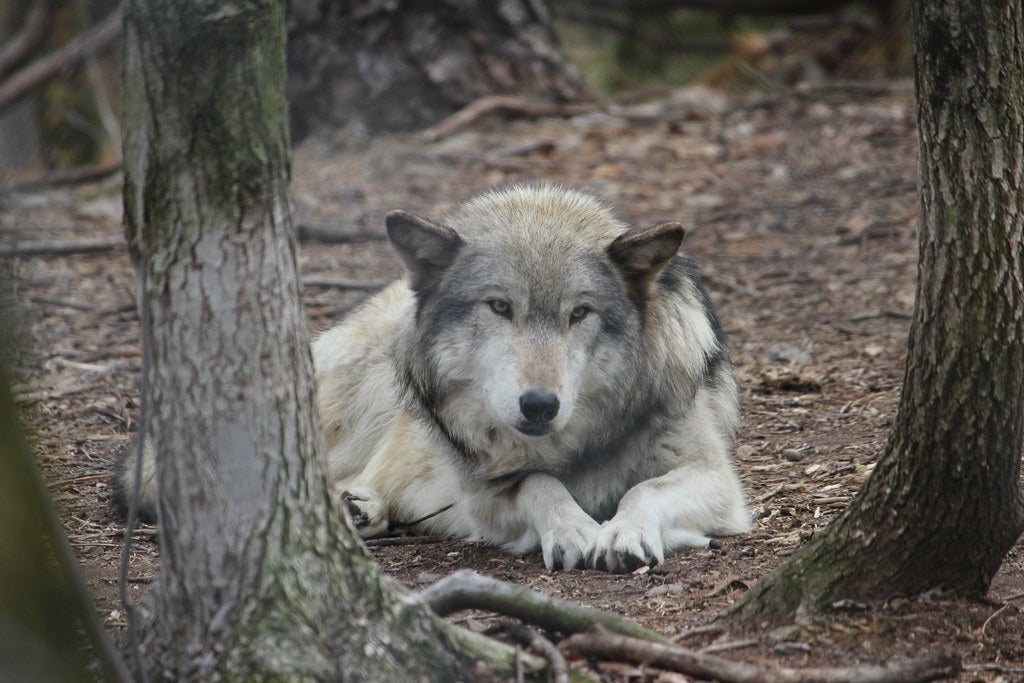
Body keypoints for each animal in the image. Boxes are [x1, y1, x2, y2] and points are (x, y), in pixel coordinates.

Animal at [121, 184, 749, 572]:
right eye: (500, 308)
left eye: (579, 314)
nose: (539, 405)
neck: (572, 446)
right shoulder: (484, 497)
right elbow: (538, 484)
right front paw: (573, 529)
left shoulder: (716, 477)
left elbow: (647, 488)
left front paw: (623, 532)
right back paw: (353, 505)